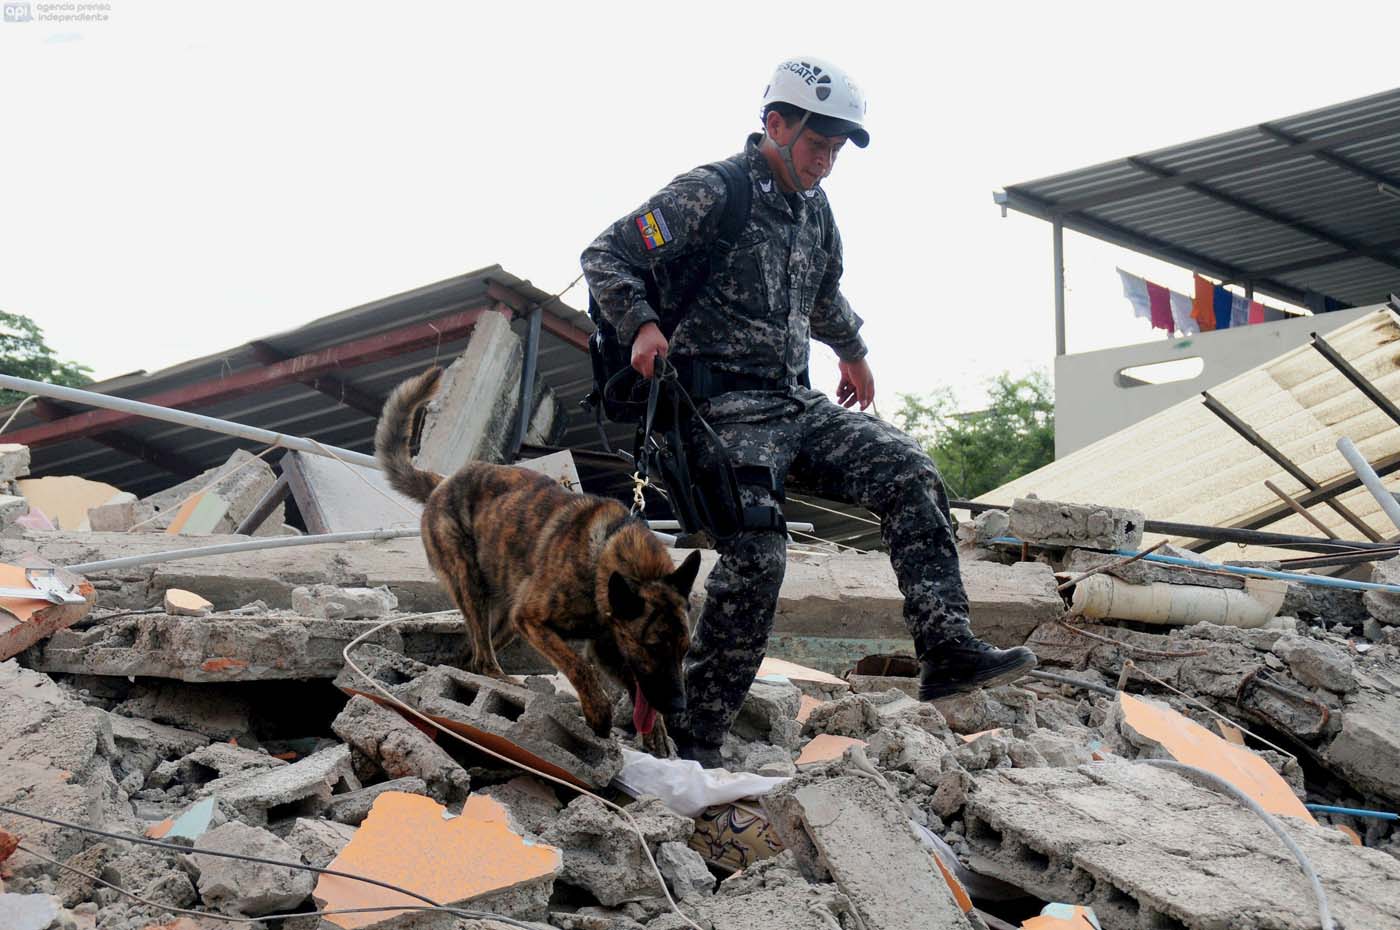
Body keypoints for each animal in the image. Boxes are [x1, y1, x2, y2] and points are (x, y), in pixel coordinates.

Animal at [378, 366, 700, 739]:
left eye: (684, 650)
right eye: (653, 647)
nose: (679, 706)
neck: (604, 559)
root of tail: (442, 482)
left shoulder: (609, 648)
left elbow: (634, 689)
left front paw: (659, 737)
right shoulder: (532, 619)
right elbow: (580, 667)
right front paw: (599, 712)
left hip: (504, 618)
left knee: (469, 656)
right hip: (473, 586)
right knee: (482, 656)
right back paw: (504, 680)